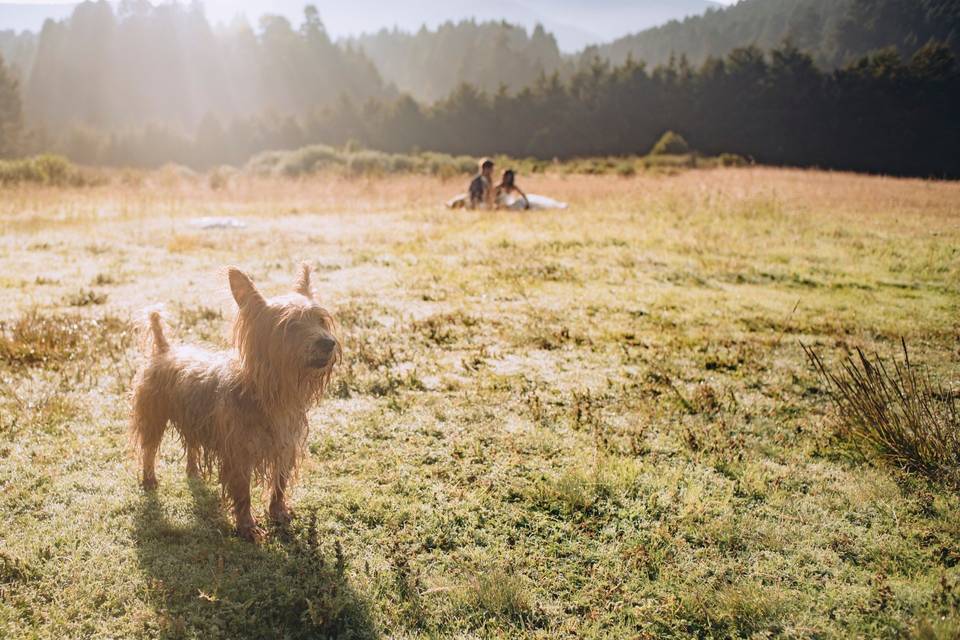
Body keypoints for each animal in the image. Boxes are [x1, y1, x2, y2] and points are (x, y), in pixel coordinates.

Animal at [130, 264, 342, 540]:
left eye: (321, 320)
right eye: (291, 325)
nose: (329, 342)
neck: (268, 393)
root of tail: (164, 349)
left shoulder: (285, 445)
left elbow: (280, 483)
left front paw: (278, 512)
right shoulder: (239, 452)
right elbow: (243, 492)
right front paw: (247, 526)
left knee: (192, 443)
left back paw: (193, 471)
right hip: (153, 416)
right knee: (149, 449)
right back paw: (149, 479)